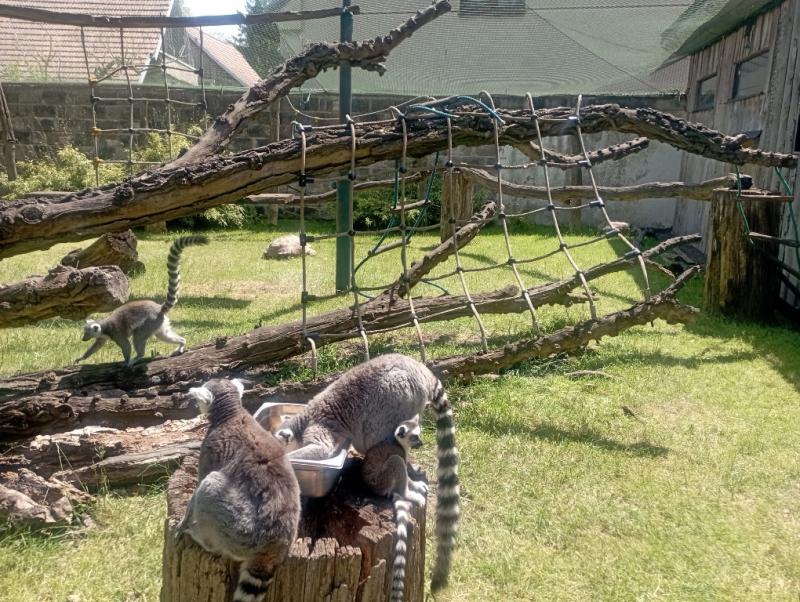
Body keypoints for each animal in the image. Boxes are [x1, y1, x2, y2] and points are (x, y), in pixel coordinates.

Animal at [76, 235, 208, 366]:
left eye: (87, 333)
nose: (83, 339)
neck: (103, 327)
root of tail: (158, 309)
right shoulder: (102, 336)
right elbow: (97, 345)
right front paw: (81, 358)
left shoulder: (116, 333)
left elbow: (126, 346)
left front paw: (126, 362)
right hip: (158, 324)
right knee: (162, 335)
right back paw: (181, 343)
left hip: (148, 323)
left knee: (138, 337)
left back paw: (137, 357)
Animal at [177, 378, 301, 602]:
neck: (232, 413)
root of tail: (275, 545)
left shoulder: (209, 450)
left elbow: (198, 486)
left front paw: (182, 523)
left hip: (238, 530)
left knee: (209, 486)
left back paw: (199, 536)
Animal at [362, 417, 429, 602]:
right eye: (414, 437)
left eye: (419, 435)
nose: (421, 443)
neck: (399, 443)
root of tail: (375, 489)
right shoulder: (398, 451)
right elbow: (402, 464)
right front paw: (415, 486)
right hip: (384, 478)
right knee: (396, 461)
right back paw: (409, 494)